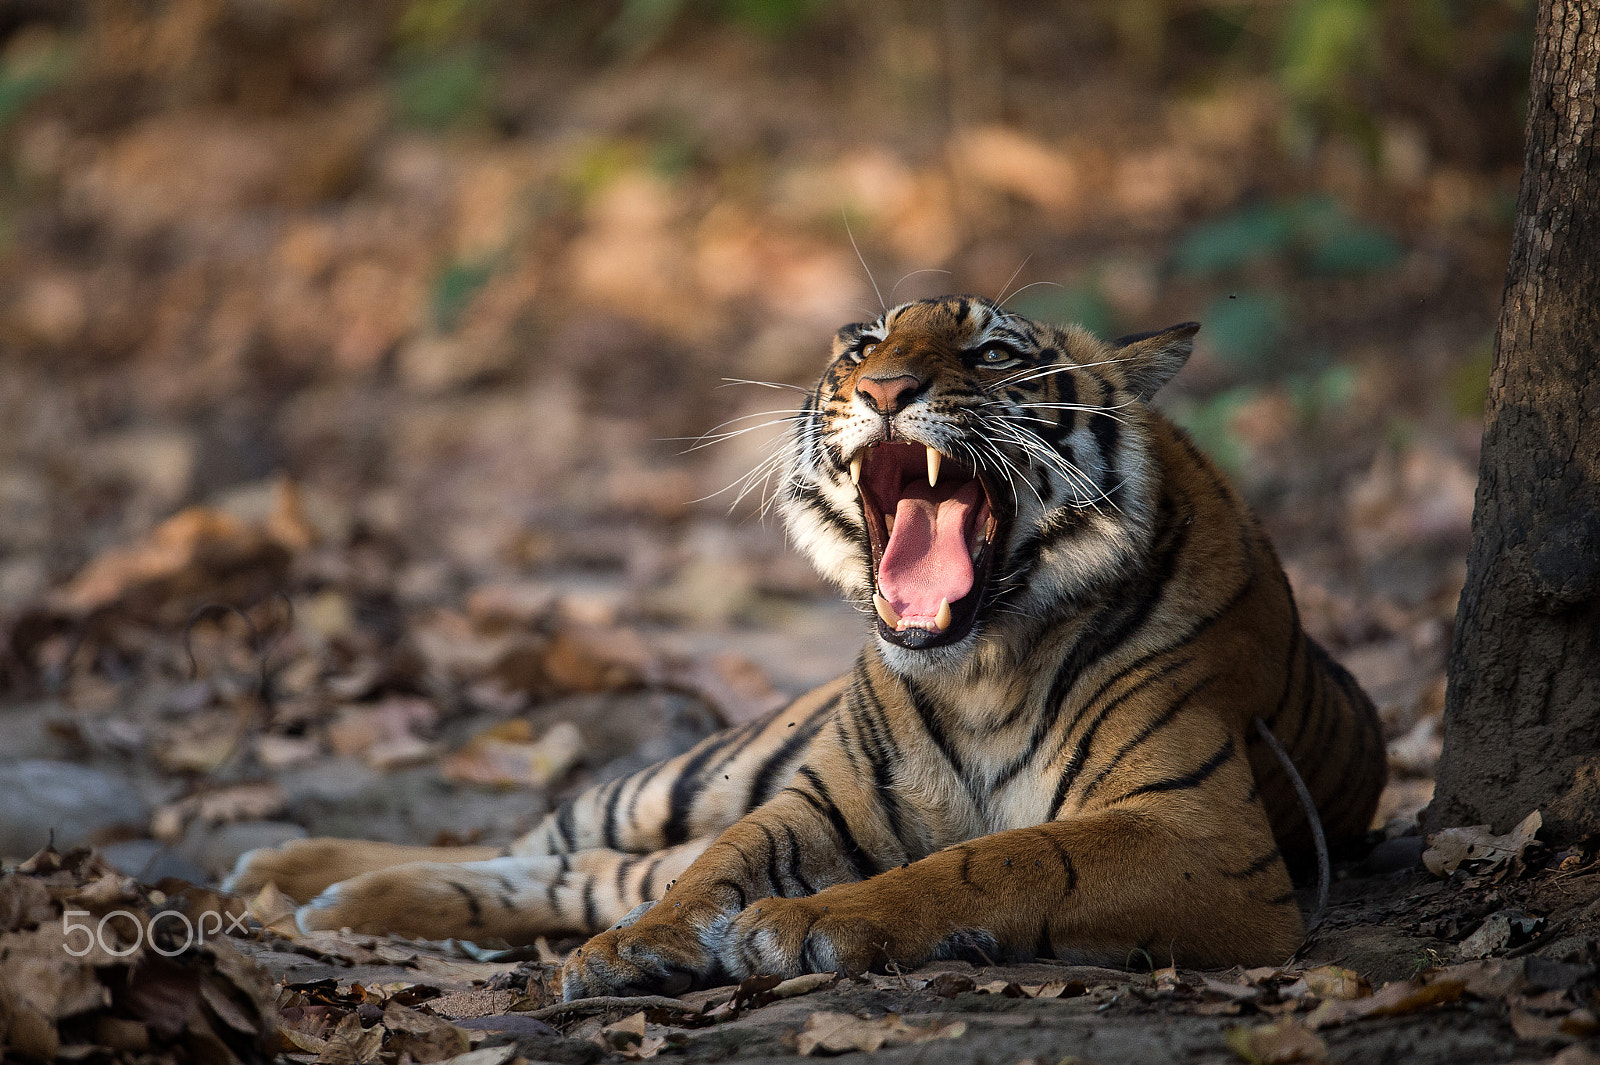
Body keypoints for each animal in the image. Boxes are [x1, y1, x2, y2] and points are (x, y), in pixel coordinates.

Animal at [228, 294, 1388, 997]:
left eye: (992, 354)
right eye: (863, 347)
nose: (883, 391)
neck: (982, 668)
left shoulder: (1202, 835)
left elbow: (998, 857)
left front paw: (803, 926)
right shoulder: (821, 798)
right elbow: (722, 866)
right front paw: (643, 947)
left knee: (575, 867)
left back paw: (327, 895)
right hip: (701, 771)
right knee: (551, 839)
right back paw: (293, 870)